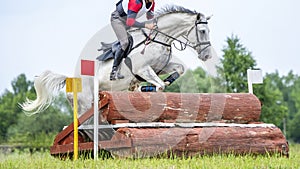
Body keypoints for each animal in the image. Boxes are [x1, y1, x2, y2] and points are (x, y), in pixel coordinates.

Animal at [20, 4, 213, 117]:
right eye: (203, 31)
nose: (207, 56)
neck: (159, 38)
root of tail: (71, 79)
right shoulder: (143, 69)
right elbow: (159, 85)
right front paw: (150, 89)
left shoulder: (162, 66)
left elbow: (179, 69)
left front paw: (156, 85)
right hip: (84, 104)